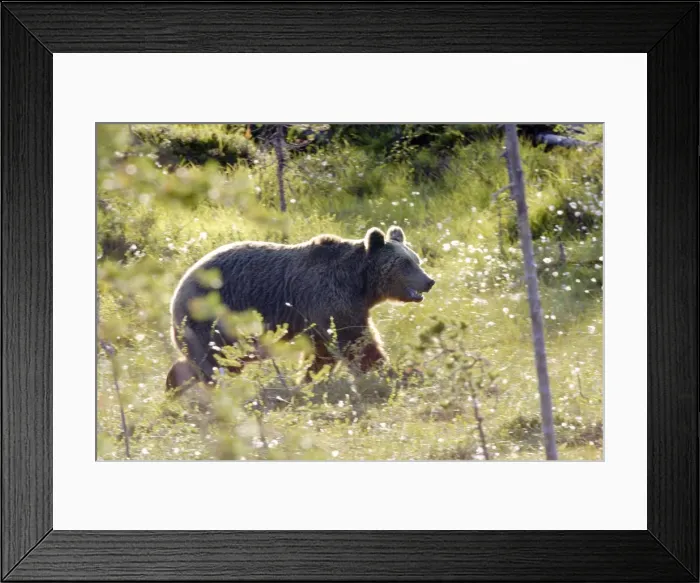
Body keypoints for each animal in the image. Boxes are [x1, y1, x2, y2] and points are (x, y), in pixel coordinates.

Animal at [165, 225, 435, 392]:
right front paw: (394, 373)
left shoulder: (323, 311)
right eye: (406, 263)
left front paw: (308, 378)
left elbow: (324, 352)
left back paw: (173, 385)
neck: (361, 284)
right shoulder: (330, 298)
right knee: (216, 359)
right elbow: (356, 340)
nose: (429, 281)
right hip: (213, 316)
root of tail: (178, 288)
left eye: (416, 260)